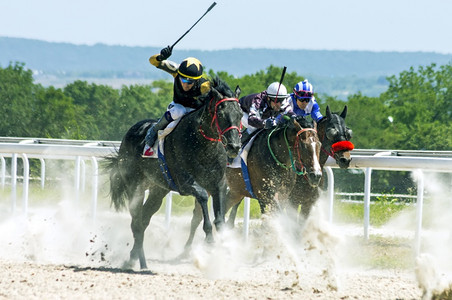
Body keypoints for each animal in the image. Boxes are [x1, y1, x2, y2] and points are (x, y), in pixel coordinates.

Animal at [104, 77, 244, 270]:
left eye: (240, 114)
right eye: (222, 114)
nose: (234, 147)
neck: (201, 144)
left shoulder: (219, 184)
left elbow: (220, 215)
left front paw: (225, 243)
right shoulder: (185, 182)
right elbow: (202, 196)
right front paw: (209, 238)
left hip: (158, 189)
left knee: (144, 219)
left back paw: (134, 258)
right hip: (135, 187)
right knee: (137, 223)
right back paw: (140, 262)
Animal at [185, 115, 324, 248]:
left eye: (319, 144)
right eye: (303, 145)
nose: (316, 175)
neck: (277, 157)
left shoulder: (284, 196)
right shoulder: (266, 194)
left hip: (235, 192)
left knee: (222, 211)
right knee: (197, 216)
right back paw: (187, 248)